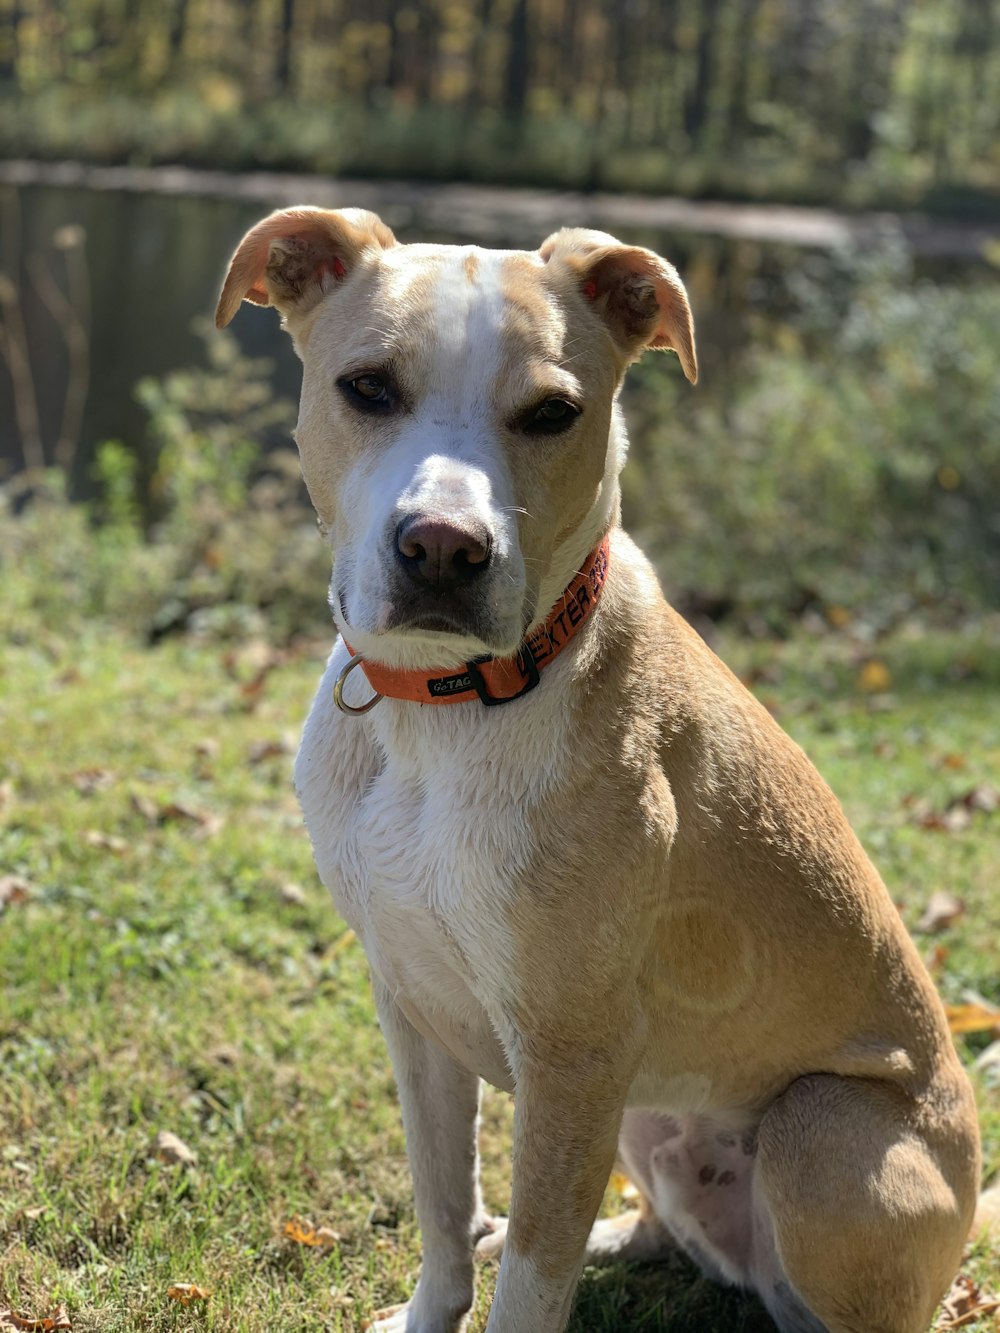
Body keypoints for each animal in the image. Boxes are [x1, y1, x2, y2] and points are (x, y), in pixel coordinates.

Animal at [217, 207, 986, 1333]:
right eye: (367, 387)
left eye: (552, 412)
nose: (443, 547)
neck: (444, 707)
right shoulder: (413, 1009)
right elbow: (443, 1206)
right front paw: (431, 1307)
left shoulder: (570, 1056)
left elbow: (533, 1280)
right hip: (641, 1113)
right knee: (655, 1225)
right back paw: (627, 1235)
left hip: (815, 1126)